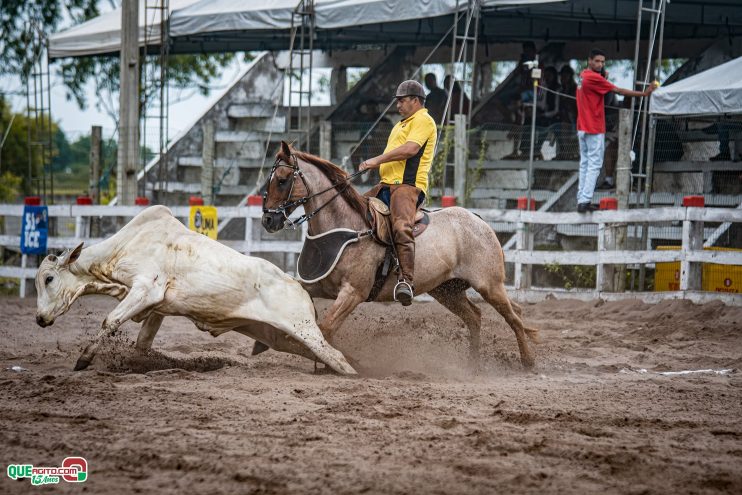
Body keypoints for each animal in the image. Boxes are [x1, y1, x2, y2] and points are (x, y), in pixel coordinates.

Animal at [35, 206, 358, 376]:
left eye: (49, 279)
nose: (39, 319)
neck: (123, 247)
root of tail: (298, 287)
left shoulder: (146, 289)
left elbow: (110, 321)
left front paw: (83, 360)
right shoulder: (156, 309)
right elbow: (143, 342)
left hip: (303, 329)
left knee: (336, 356)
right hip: (277, 335)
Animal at [262, 141, 540, 370]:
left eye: (283, 179)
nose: (268, 220)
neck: (347, 227)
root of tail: (478, 220)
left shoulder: (353, 293)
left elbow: (325, 328)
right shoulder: (313, 286)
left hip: (489, 285)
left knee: (514, 316)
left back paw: (528, 361)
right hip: (447, 290)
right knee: (475, 317)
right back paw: (472, 365)